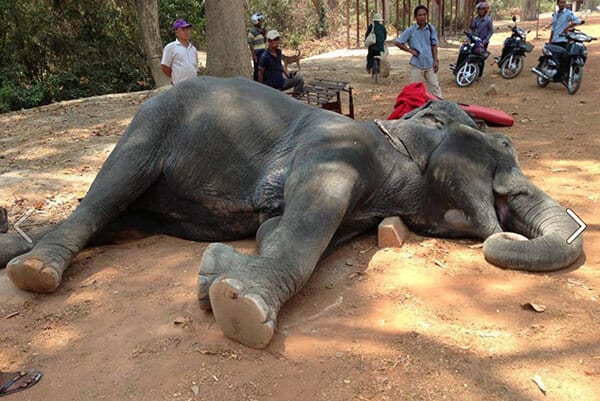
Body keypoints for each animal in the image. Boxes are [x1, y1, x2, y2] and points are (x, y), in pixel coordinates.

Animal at [0, 76, 580, 348]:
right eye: (504, 151)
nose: (509, 233)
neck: (400, 133)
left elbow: (280, 227)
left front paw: (215, 276)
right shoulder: (335, 152)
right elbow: (309, 218)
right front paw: (239, 310)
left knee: (118, 218)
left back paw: (18, 249)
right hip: (150, 125)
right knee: (109, 191)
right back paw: (33, 271)